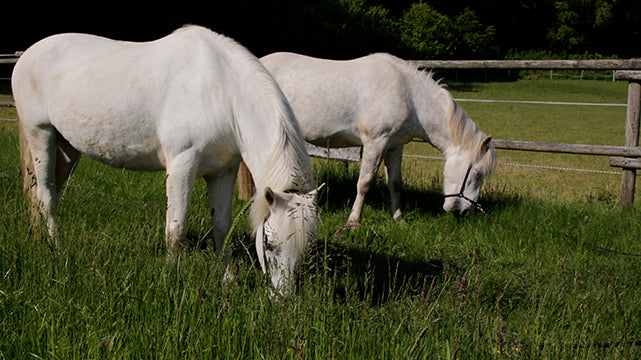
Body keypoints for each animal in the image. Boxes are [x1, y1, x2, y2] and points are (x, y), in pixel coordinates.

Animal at [16, 25, 320, 296]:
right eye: (268, 242)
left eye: (304, 248)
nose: (282, 299)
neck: (221, 91)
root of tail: (26, 55)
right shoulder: (182, 166)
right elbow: (176, 229)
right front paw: (169, 278)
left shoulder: (223, 171)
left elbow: (221, 226)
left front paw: (226, 280)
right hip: (41, 134)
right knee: (45, 196)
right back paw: (57, 248)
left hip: (67, 148)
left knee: (51, 194)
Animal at [260, 52, 496, 222]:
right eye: (477, 174)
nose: (465, 212)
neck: (409, 95)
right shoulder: (376, 142)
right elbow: (364, 182)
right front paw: (354, 221)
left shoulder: (395, 146)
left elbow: (396, 183)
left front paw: (399, 219)